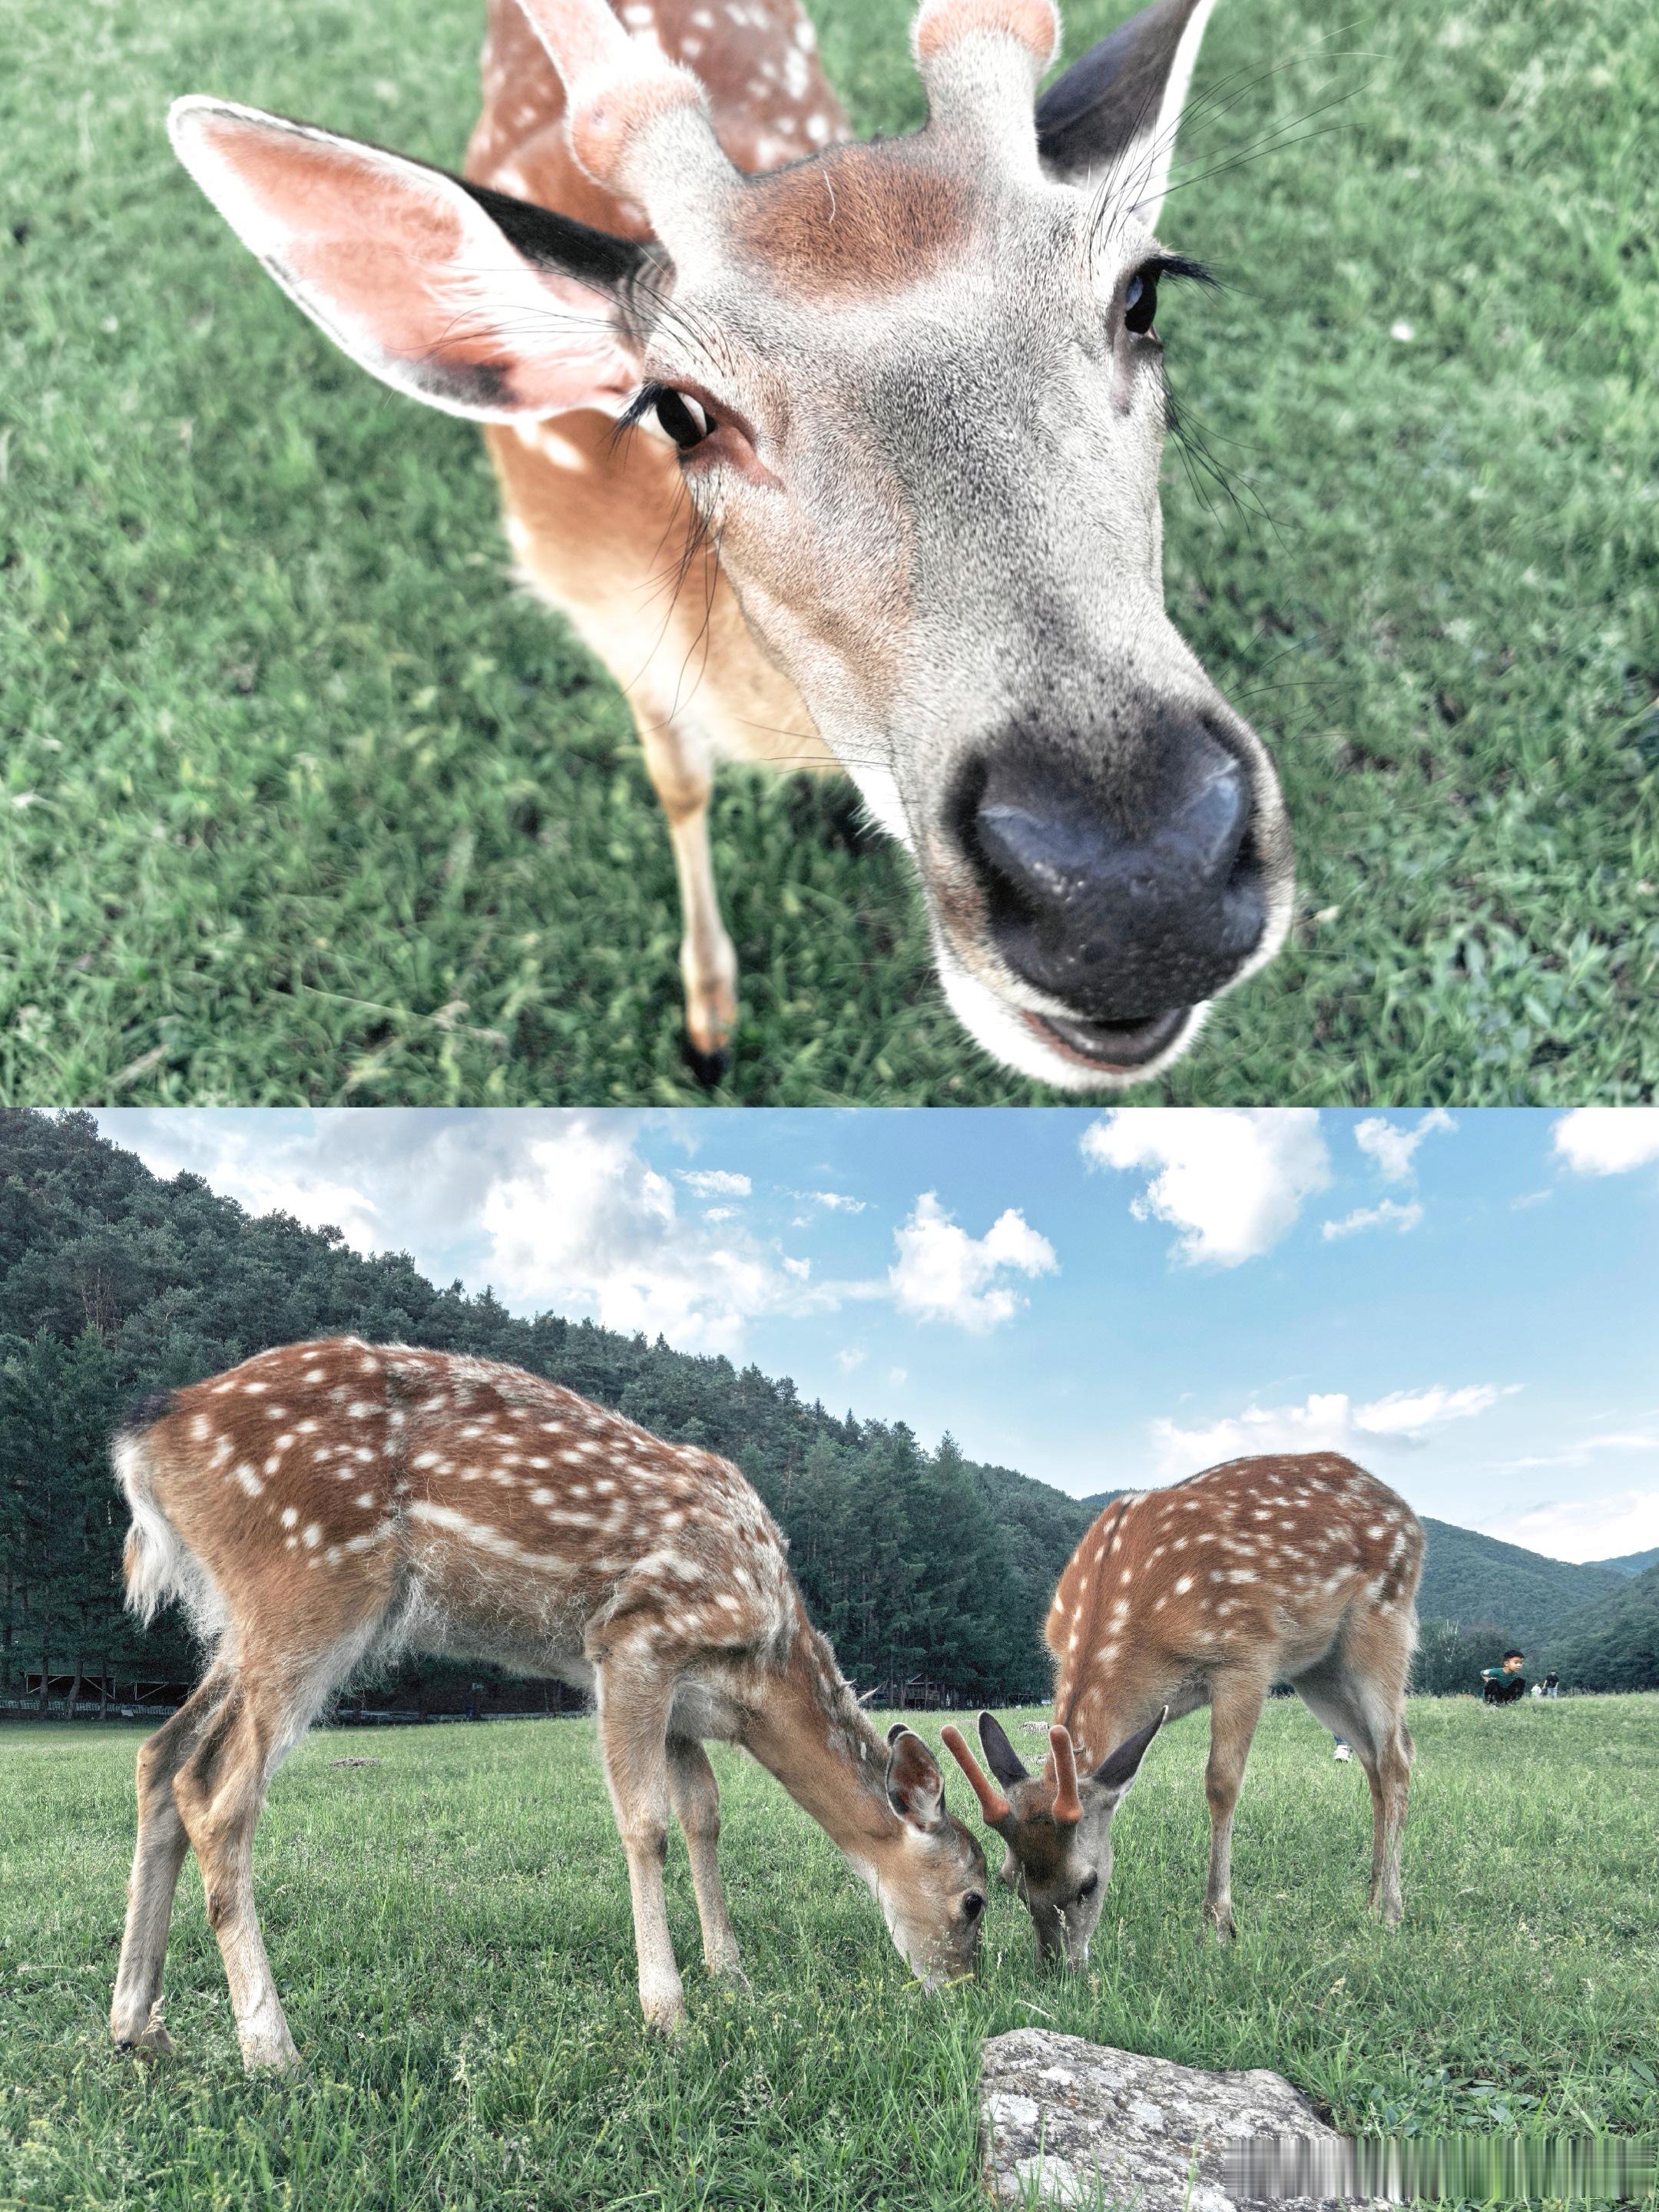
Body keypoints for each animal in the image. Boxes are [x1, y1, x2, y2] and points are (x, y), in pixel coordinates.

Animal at [108, 1339, 988, 2068]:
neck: (758, 1671)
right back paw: (271, 2050)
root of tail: (148, 1436)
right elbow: (647, 1823)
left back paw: (136, 2025)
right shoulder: (637, 1637)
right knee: (215, 1791)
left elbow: (703, 1814)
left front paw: (730, 1974)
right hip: (308, 1581)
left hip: (242, 1621)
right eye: (976, 1900)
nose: (964, 1990)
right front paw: (667, 2012)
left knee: (159, 1755)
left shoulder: (684, 1702)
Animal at [166, 0, 1295, 1093]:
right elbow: (679, 785)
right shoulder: (611, 630)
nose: (1138, 883)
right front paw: (707, 1020)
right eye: (679, 410)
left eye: (1143, 294)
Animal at [942, 1453, 1423, 1964]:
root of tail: (1409, 1517)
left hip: (1384, 1620)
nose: (1058, 1967)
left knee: (1397, 1756)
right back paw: (1370, 1897)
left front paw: (1218, 1925)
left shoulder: (1247, 1653)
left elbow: (1221, 1782)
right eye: (1010, 1881)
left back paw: (1390, 1910)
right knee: (1371, 1756)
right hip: (1318, 1668)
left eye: (1088, 1884)